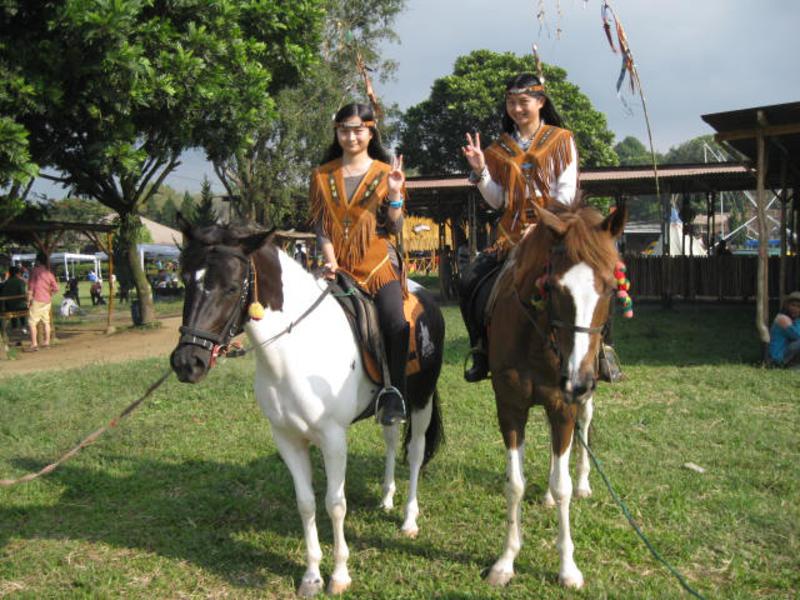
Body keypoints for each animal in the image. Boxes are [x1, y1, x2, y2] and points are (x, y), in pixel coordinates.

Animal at [482, 203, 624, 592]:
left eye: (610, 289)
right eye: (556, 288)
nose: (577, 379)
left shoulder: (564, 405)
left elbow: (563, 488)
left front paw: (567, 568)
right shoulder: (510, 407)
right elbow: (514, 484)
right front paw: (505, 562)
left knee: (584, 426)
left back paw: (584, 483)